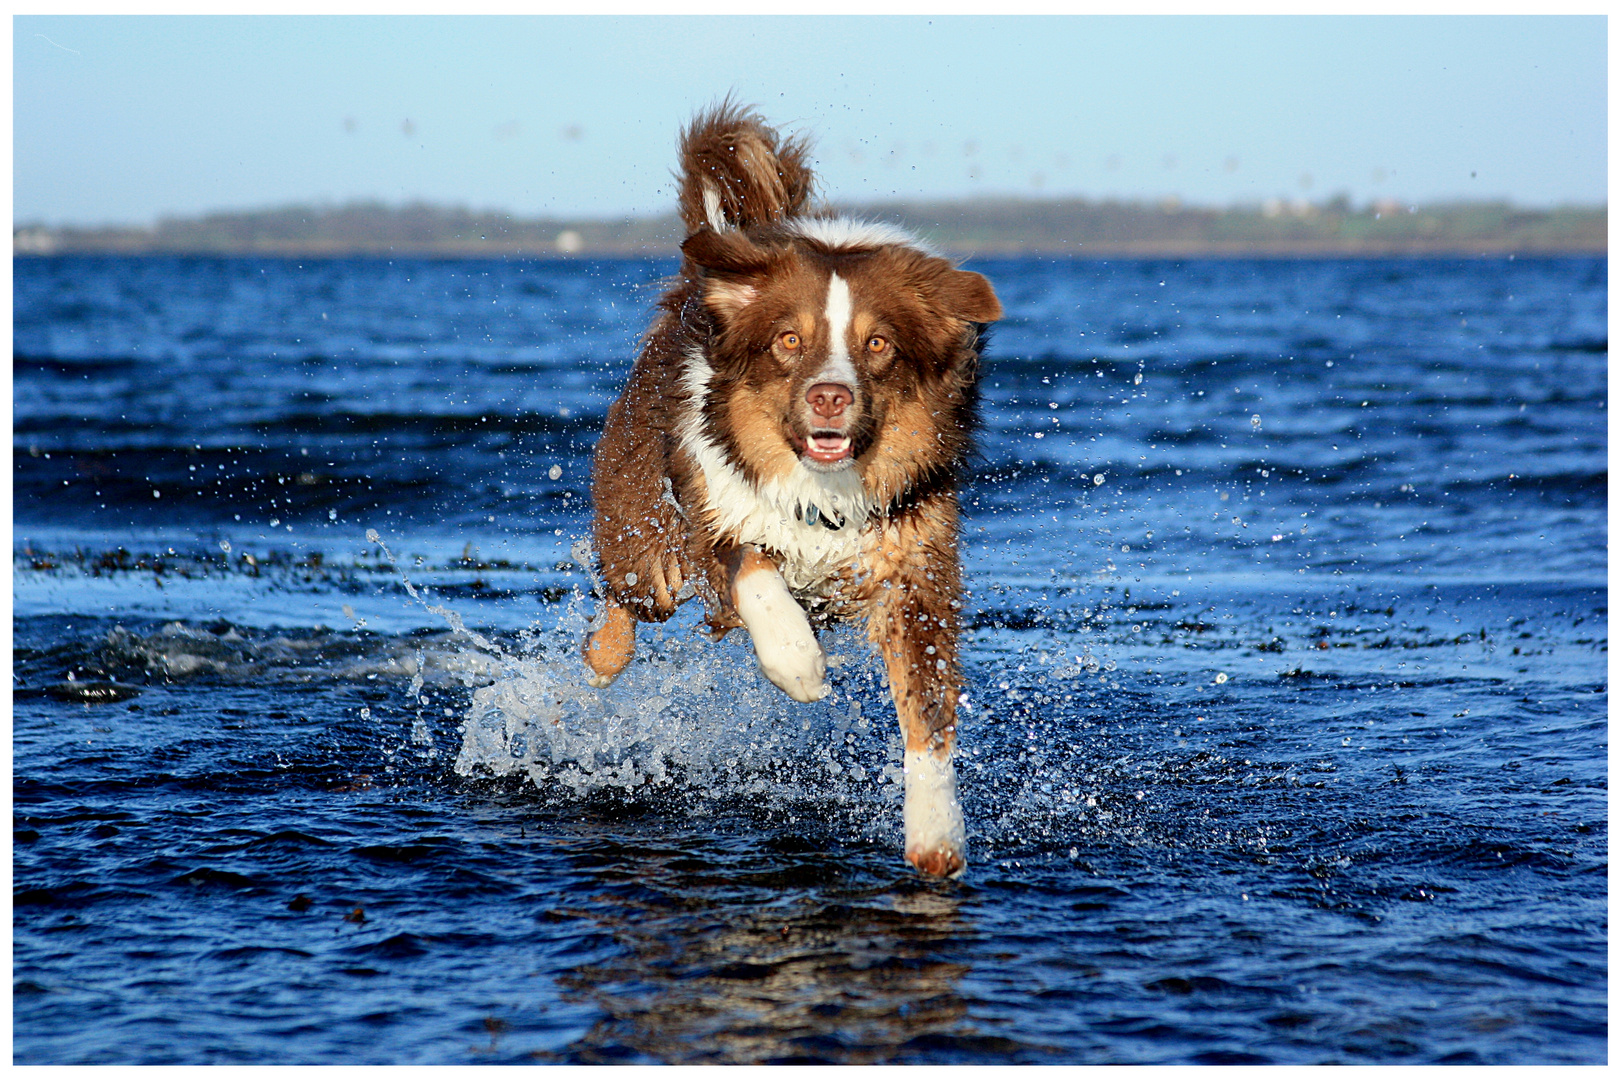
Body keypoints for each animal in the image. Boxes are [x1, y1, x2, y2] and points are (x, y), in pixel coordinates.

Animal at [583, 103, 997, 880]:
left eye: (877, 344)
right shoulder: (714, 510)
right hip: (645, 540)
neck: (825, 487)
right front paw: (799, 664)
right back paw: (600, 660)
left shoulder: (913, 568)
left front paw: (936, 834)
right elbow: (755, 571)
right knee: (629, 601)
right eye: (788, 340)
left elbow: (927, 712)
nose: (830, 398)